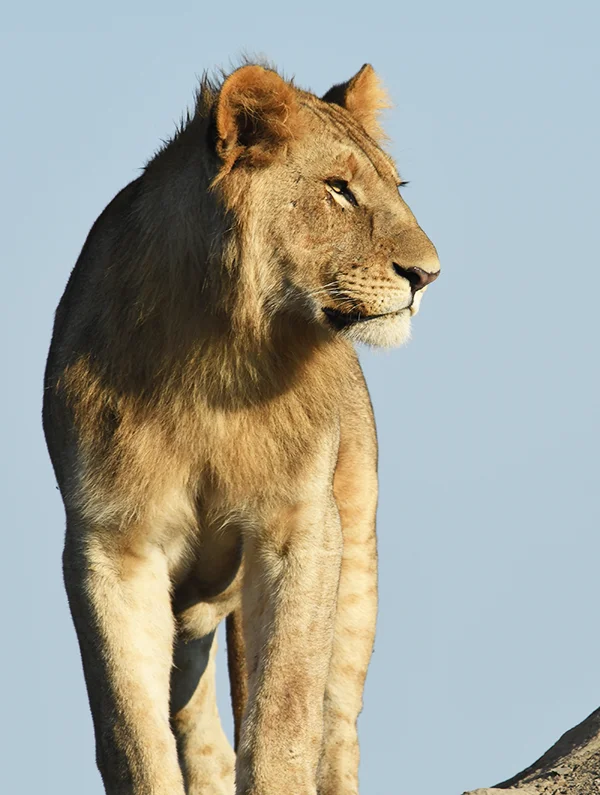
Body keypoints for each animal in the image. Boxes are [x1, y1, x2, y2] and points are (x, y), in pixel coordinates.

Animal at [43, 62, 439, 795]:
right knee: (196, 725)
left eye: (395, 188)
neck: (216, 357)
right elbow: (130, 726)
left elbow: (284, 706)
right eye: (338, 189)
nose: (427, 275)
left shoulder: (301, 523)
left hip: (356, 565)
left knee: (337, 718)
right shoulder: (111, 538)